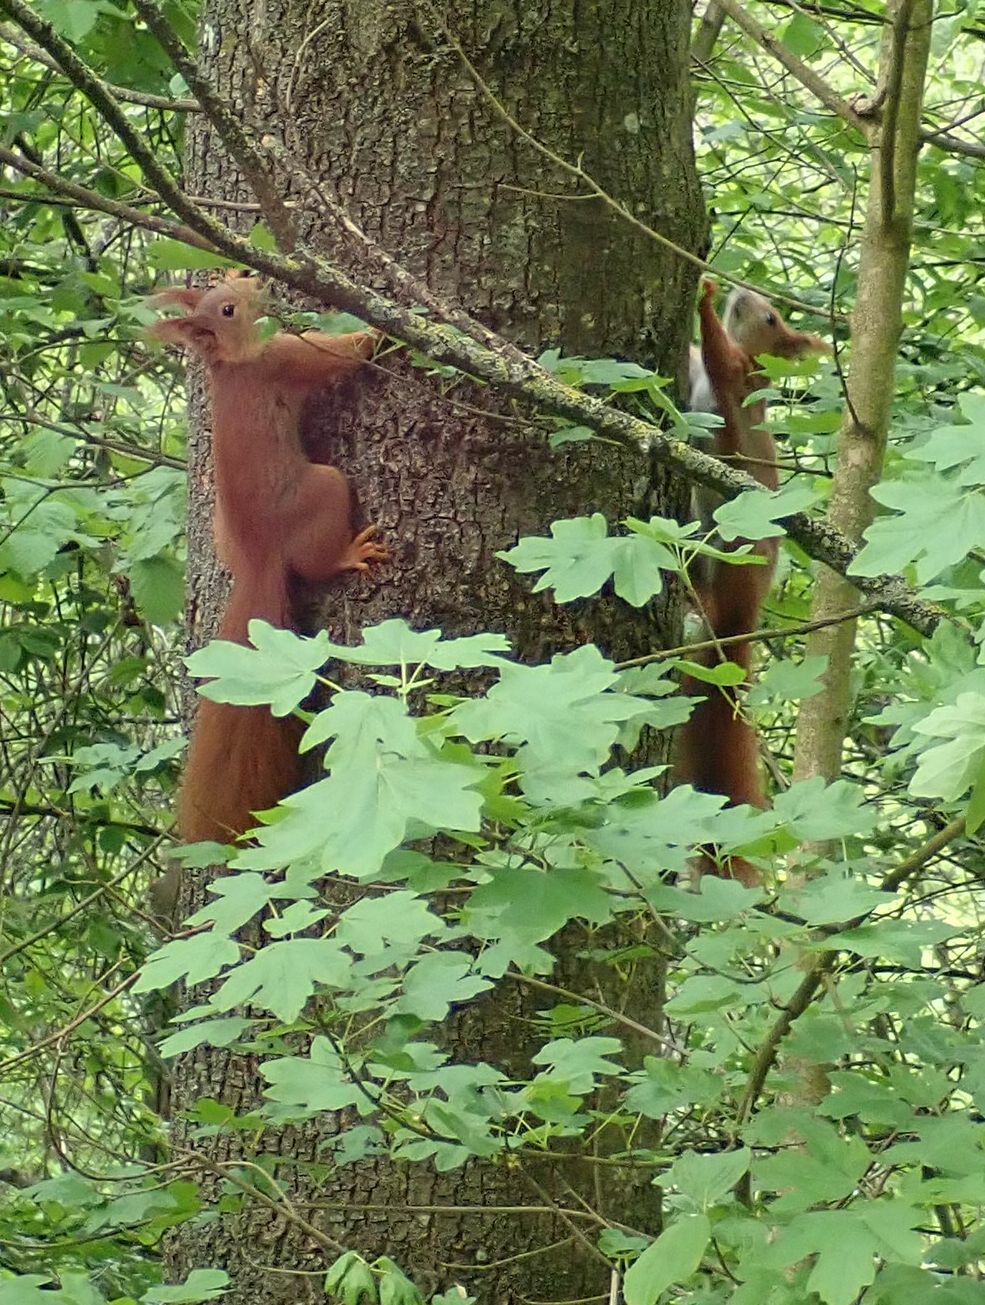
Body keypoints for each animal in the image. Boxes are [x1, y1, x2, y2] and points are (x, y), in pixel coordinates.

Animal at [150, 275, 388, 845]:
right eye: (228, 309)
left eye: (225, 287)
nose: (255, 279)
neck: (231, 364)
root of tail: (260, 557)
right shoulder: (283, 357)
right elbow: (339, 353)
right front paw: (385, 329)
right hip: (325, 487)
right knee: (319, 560)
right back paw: (351, 553)